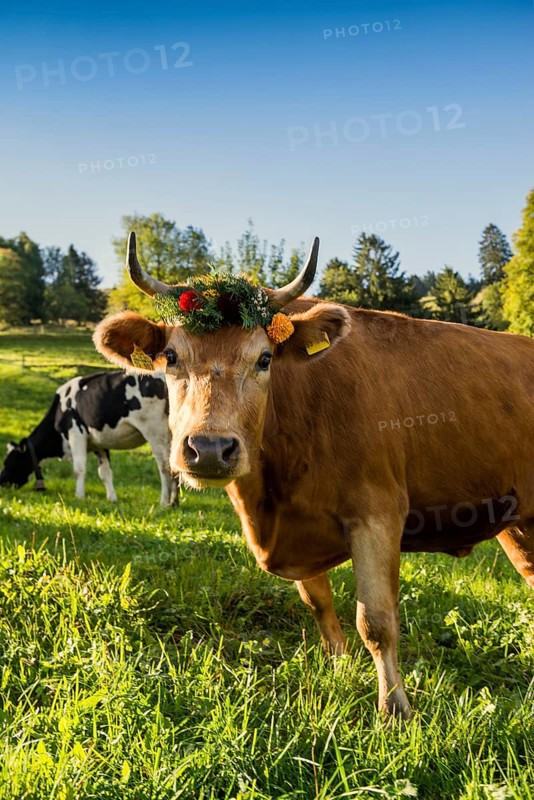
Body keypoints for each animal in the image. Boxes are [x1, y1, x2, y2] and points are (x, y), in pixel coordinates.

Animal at [0, 370, 178, 505]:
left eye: (9, 462)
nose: (2, 482)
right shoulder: (100, 444)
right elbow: (105, 472)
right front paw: (112, 498)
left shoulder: (76, 434)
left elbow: (79, 469)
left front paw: (79, 496)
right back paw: (174, 502)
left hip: (155, 432)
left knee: (164, 467)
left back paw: (164, 502)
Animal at [93, 231, 534, 718]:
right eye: (171, 356)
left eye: (265, 358)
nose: (209, 449)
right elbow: (319, 604)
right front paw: (340, 669)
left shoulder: (377, 514)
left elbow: (376, 620)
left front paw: (394, 708)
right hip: (518, 525)